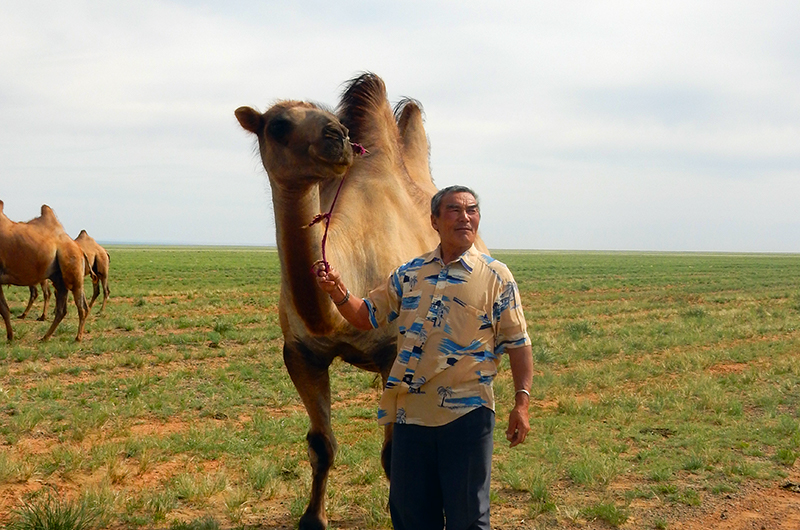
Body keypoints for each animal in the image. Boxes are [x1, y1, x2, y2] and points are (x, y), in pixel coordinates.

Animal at [0, 200, 90, 340]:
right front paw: (10, 337)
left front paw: (10, 337)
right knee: (62, 309)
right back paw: (45, 337)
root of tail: (79, 248)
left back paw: (77, 338)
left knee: (81, 306)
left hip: (72, 266)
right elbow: (4, 308)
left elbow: (3, 308)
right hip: (60, 278)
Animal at [234, 73, 476, 528]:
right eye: (278, 125)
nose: (339, 138)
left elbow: (394, 454)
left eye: (332, 120)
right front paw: (312, 519)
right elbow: (321, 444)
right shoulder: (301, 352)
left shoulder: (392, 353)